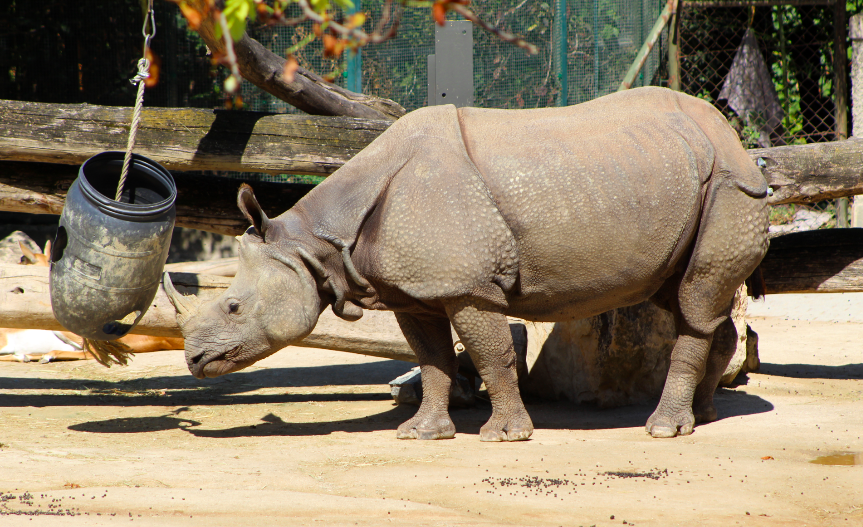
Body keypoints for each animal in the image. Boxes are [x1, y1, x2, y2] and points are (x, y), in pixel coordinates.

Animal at [164, 87, 769, 441]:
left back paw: (664, 430)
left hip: (731, 186)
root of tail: (737, 141)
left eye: (233, 306)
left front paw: (505, 436)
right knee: (686, 294)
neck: (315, 242)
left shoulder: (467, 285)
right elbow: (432, 357)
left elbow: (491, 353)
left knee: (694, 298)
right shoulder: (414, 290)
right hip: (673, 175)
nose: (194, 360)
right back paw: (705, 416)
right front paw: (422, 434)